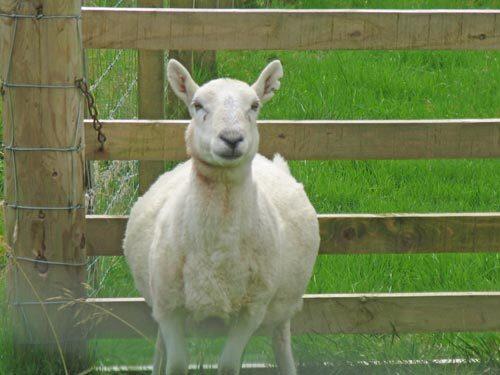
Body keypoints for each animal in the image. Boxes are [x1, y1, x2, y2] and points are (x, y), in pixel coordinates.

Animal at [125, 60, 320, 374]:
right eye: (197, 104)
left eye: (254, 105)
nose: (231, 139)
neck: (217, 246)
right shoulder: (169, 308)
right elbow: (176, 364)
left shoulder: (251, 310)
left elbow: (228, 365)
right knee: (160, 349)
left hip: (282, 307)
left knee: (281, 339)